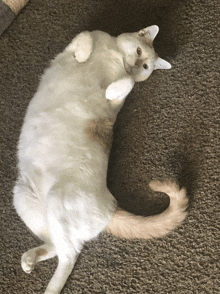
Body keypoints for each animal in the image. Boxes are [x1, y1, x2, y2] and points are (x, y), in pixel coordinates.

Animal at [13, 25, 187, 294]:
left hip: (57, 202)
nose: (135, 65)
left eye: (146, 67)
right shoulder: (77, 42)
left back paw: (49, 285)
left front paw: (114, 82)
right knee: (55, 245)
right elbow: (85, 37)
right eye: (139, 52)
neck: (115, 54)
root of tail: (110, 207)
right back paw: (30, 260)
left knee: (69, 254)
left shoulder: (115, 104)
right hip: (23, 197)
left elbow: (125, 83)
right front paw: (83, 56)